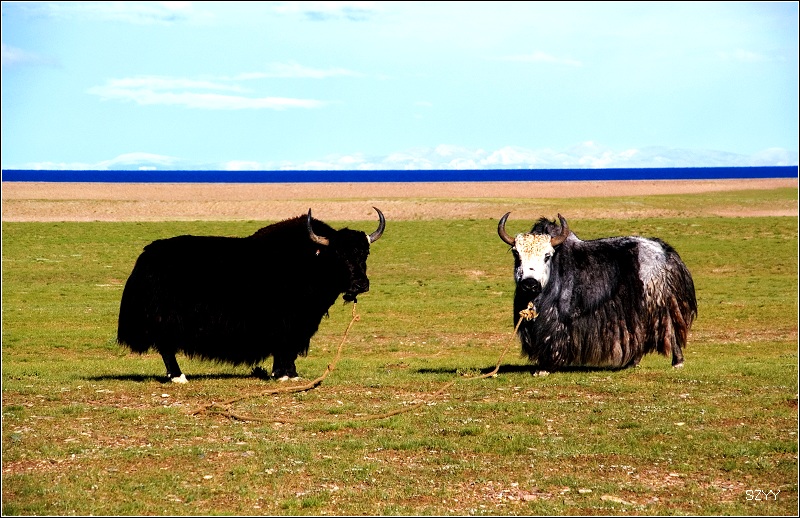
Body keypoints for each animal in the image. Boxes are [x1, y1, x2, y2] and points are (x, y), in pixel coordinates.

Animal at [117, 208, 385, 383]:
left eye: (365, 253)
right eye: (339, 255)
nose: (361, 284)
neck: (310, 261)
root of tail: (145, 258)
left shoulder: (301, 323)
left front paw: (288, 373)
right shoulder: (288, 321)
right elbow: (285, 346)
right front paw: (285, 375)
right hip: (166, 319)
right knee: (166, 347)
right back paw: (178, 376)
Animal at [497, 212, 697, 375]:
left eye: (547, 255)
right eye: (516, 254)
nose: (529, 285)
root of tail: (665, 252)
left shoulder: (557, 318)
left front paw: (543, 369)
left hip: (656, 303)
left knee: (668, 328)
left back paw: (677, 362)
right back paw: (632, 363)